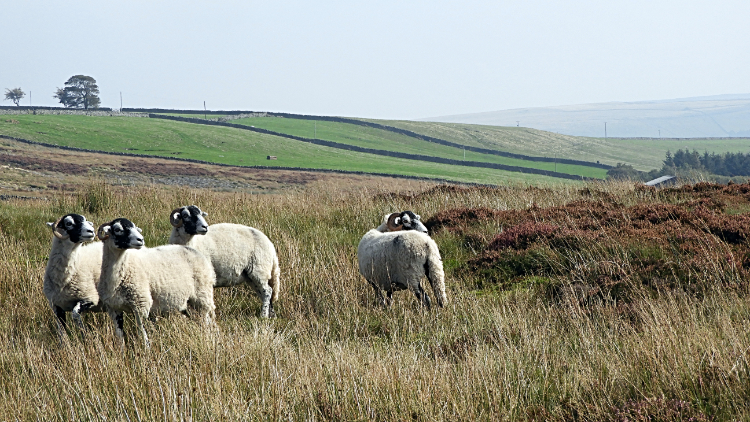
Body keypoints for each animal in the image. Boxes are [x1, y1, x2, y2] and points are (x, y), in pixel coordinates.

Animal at [95, 219, 216, 348]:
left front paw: (146, 350)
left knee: (207, 322)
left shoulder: (141, 304)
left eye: (135, 227)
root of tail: (196, 252)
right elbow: (119, 336)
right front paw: (121, 351)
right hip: (189, 304)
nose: (141, 239)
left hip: (202, 296)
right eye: (117, 229)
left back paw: (210, 340)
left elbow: (142, 332)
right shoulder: (113, 308)